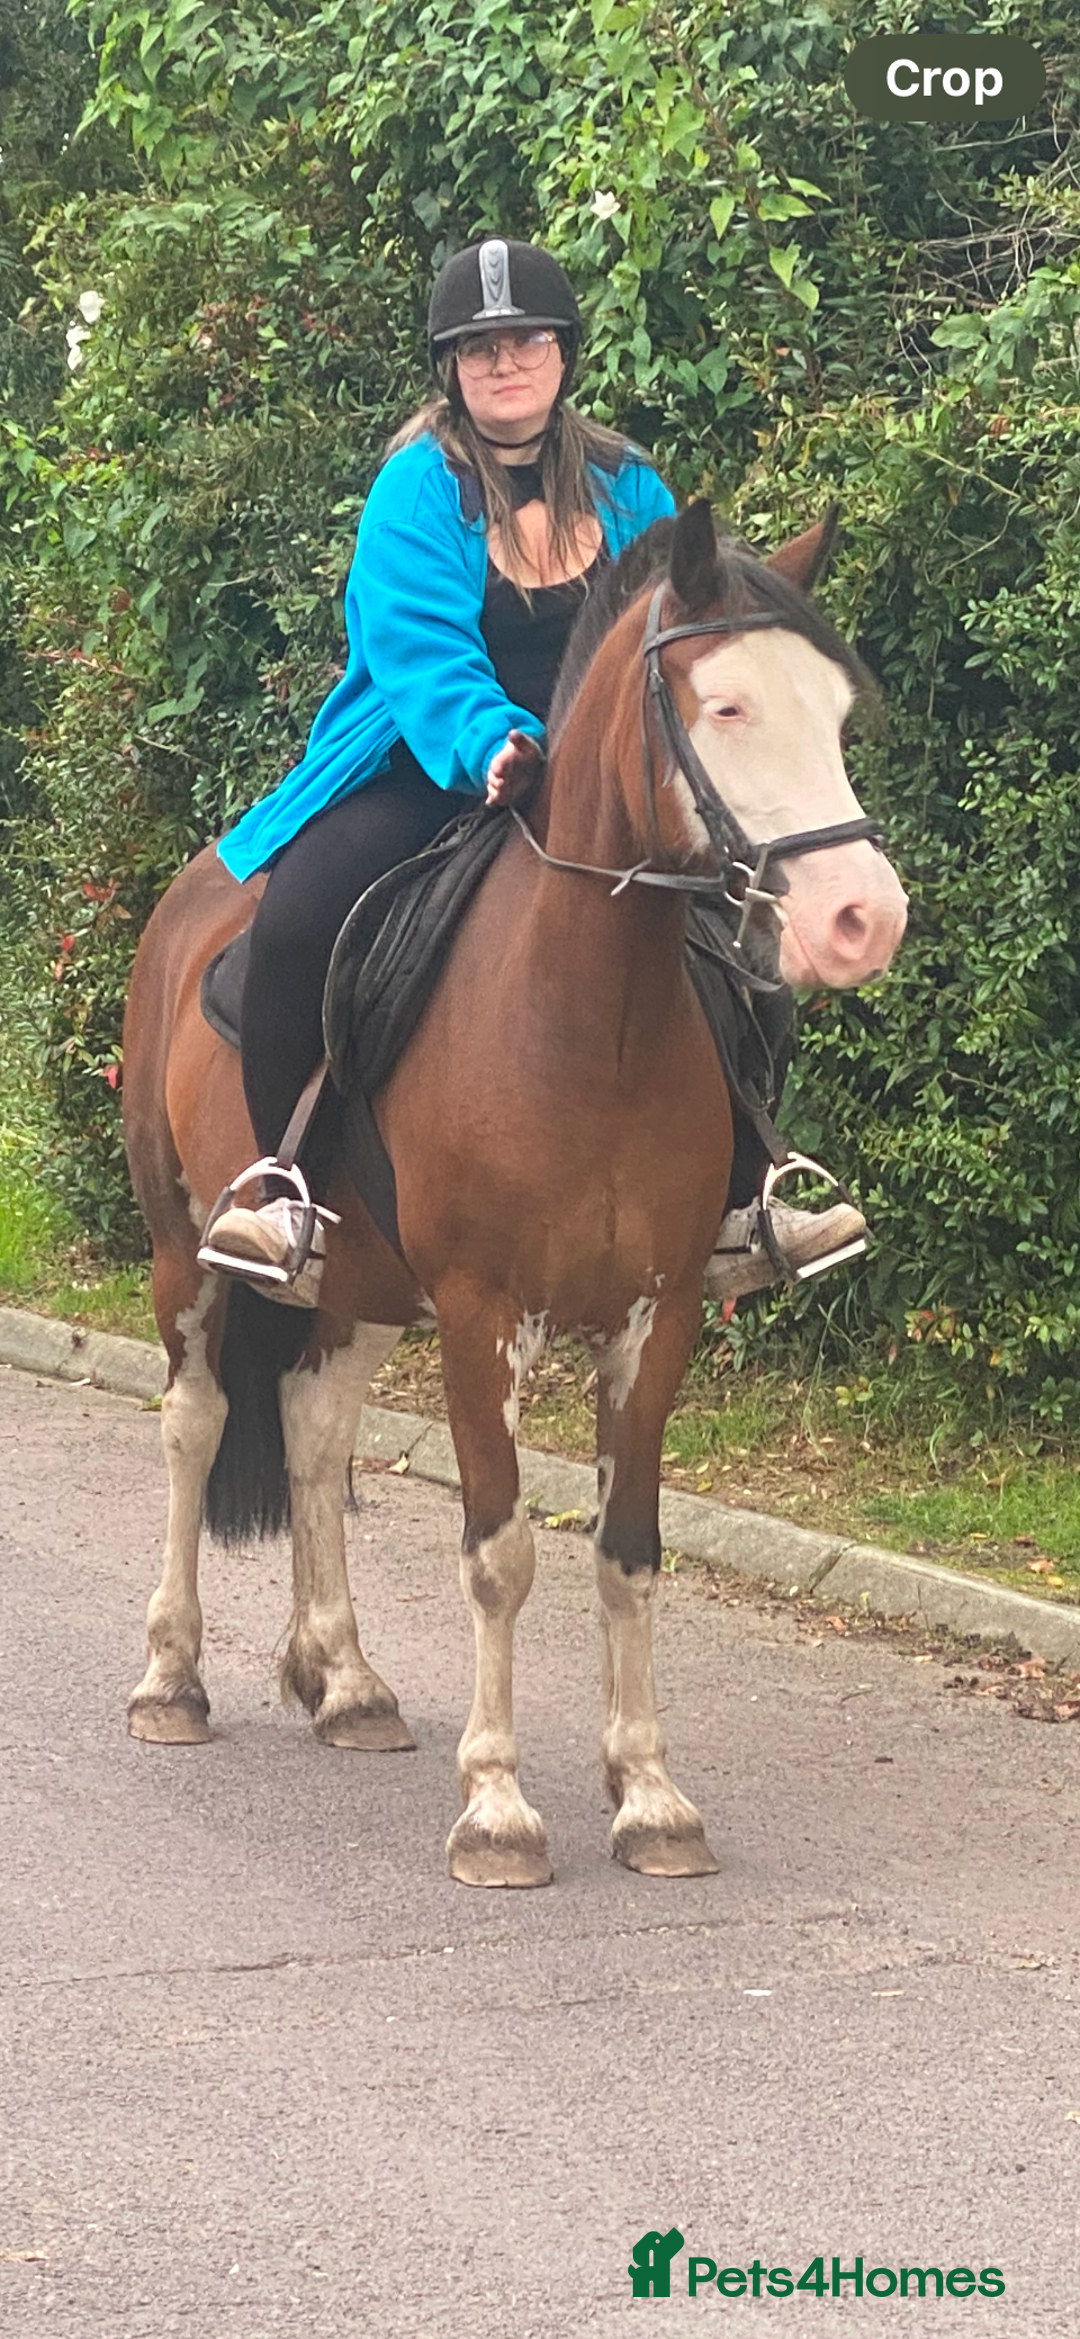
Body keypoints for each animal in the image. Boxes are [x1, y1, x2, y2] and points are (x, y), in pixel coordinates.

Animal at [121, 497, 907, 1887]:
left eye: (835, 712)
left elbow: (628, 1550)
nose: (866, 916)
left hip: (365, 1287)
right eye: (727, 707)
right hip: (187, 1256)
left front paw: (650, 1794)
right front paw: (496, 1803)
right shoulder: (484, 1317)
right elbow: (498, 1551)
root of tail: (197, 892)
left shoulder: (656, 1319)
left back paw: (346, 1679)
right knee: (197, 1422)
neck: (592, 1013)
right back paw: (173, 1677)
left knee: (314, 1428)